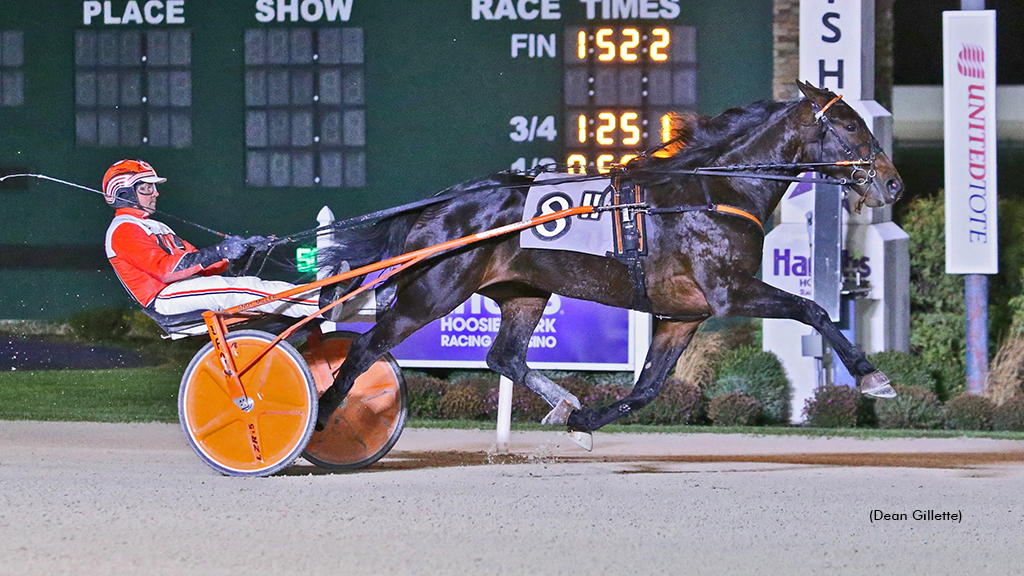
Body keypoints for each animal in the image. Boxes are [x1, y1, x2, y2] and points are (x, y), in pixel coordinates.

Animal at [315, 80, 901, 438]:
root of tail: (442, 203)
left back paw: (564, 403)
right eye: (850, 124)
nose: (892, 183)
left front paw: (584, 422)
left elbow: (646, 390)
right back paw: (322, 416)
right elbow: (814, 311)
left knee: (504, 357)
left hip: (525, 293)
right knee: (367, 346)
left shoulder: (683, 315)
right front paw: (873, 378)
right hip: (433, 292)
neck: (716, 189)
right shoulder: (729, 292)